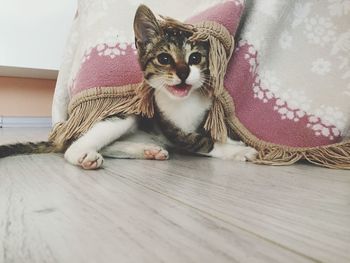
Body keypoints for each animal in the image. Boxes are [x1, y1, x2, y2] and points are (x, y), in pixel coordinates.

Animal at [0, 5, 258, 170]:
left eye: (195, 58)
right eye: (164, 59)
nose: (184, 73)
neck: (184, 102)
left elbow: (210, 132)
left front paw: (233, 142)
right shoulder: (171, 128)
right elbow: (203, 141)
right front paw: (238, 150)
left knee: (110, 145)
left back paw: (147, 150)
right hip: (126, 114)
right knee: (74, 146)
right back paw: (84, 156)